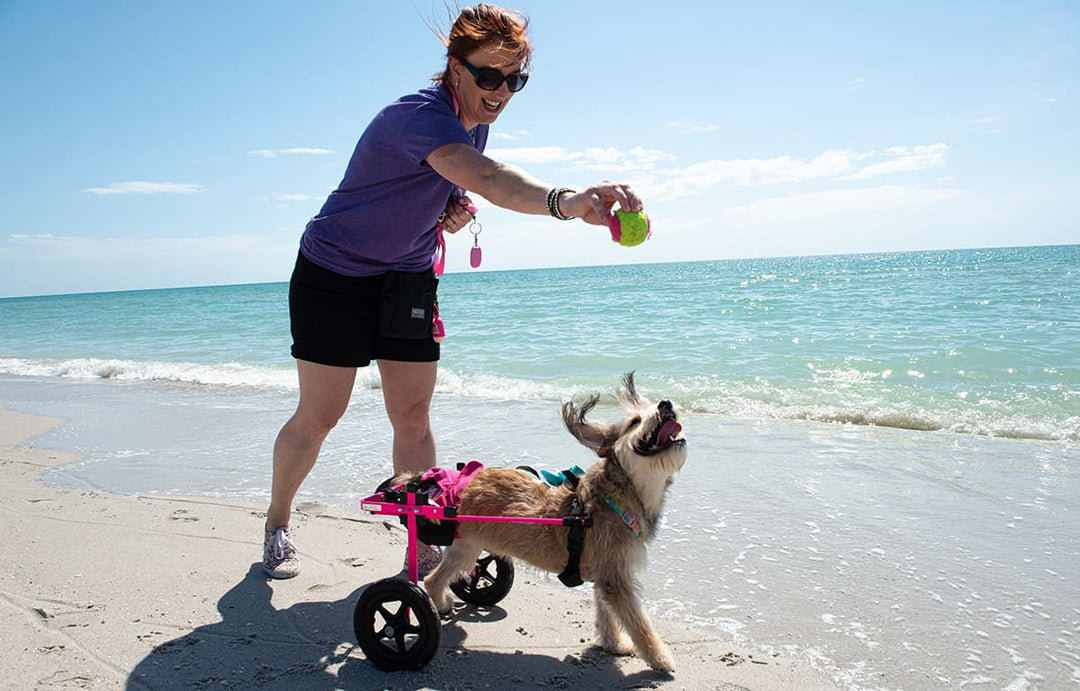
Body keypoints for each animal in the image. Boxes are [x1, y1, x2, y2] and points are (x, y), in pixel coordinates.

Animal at [401, 375, 686, 673]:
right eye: (634, 421)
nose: (666, 404)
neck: (619, 495)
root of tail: (460, 482)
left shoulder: (605, 573)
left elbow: (606, 613)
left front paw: (613, 644)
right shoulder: (615, 578)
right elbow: (639, 623)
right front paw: (659, 658)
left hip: (468, 546)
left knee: (444, 575)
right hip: (467, 547)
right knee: (432, 579)